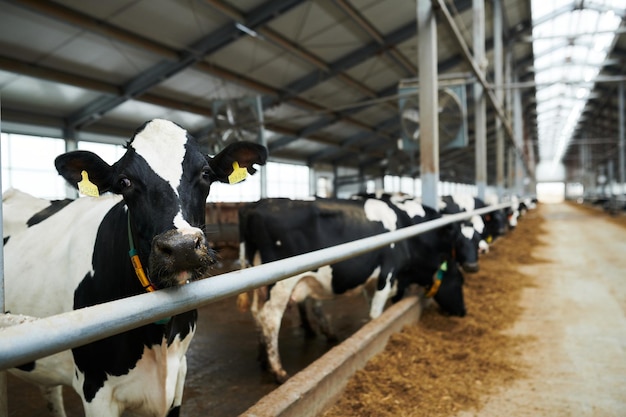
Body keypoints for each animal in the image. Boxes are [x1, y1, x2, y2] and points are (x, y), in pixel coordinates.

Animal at [1, 117, 266, 416]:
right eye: (124, 181)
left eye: (206, 173)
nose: (182, 247)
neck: (159, 336)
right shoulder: (95, 389)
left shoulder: (178, 375)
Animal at [236, 195, 476, 384]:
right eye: (459, 281)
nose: (463, 312)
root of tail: (256, 205)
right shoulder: (388, 274)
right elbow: (376, 314)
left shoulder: (374, 281)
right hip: (280, 282)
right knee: (270, 318)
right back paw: (278, 371)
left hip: (256, 281)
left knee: (257, 313)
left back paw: (263, 359)